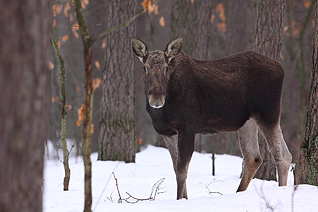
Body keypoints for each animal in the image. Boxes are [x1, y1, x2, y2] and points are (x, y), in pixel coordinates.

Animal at [130, 36, 292, 200]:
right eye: (145, 68)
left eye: (166, 68)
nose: (156, 99)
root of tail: (280, 67)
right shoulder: (168, 132)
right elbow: (176, 168)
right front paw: (184, 198)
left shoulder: (187, 127)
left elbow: (182, 170)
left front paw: (180, 199)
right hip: (247, 122)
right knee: (253, 157)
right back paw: (239, 191)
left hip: (268, 113)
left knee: (282, 155)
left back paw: (281, 190)